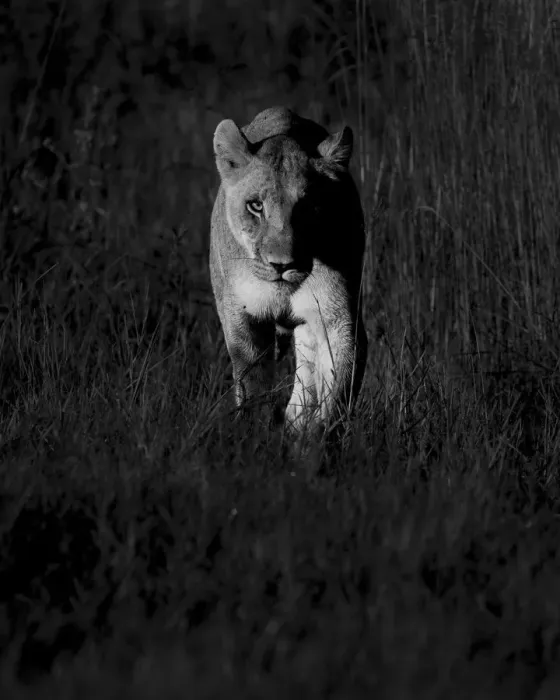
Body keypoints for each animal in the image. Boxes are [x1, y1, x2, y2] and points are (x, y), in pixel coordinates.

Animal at [209, 106, 368, 436]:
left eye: (307, 208)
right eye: (255, 206)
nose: (282, 265)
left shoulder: (338, 317)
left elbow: (339, 387)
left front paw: (316, 437)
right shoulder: (242, 316)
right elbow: (253, 383)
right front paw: (256, 434)